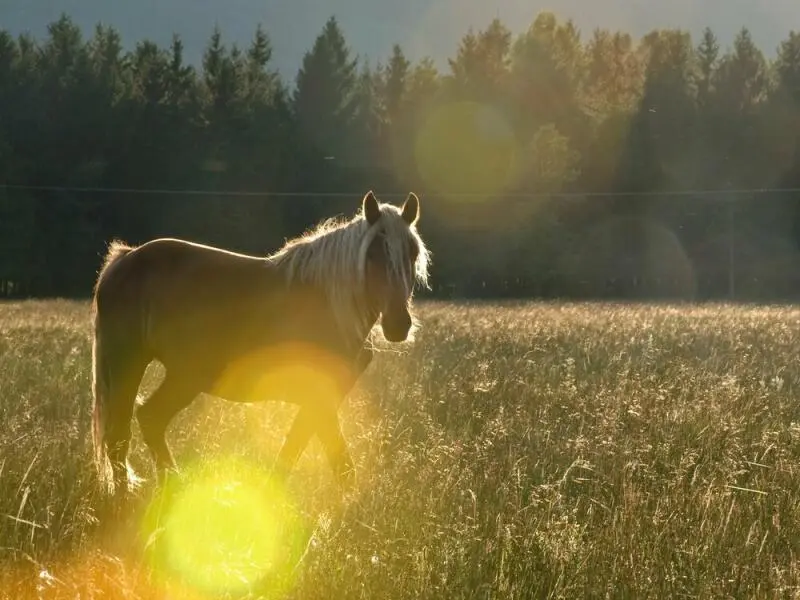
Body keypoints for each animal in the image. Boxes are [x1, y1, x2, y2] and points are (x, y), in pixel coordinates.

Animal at [89, 189, 432, 496]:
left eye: (412, 253)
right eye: (372, 253)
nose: (398, 325)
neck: (330, 304)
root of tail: (126, 258)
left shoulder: (320, 401)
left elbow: (300, 453)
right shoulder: (319, 397)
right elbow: (331, 461)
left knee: (139, 426)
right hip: (152, 370)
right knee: (130, 430)